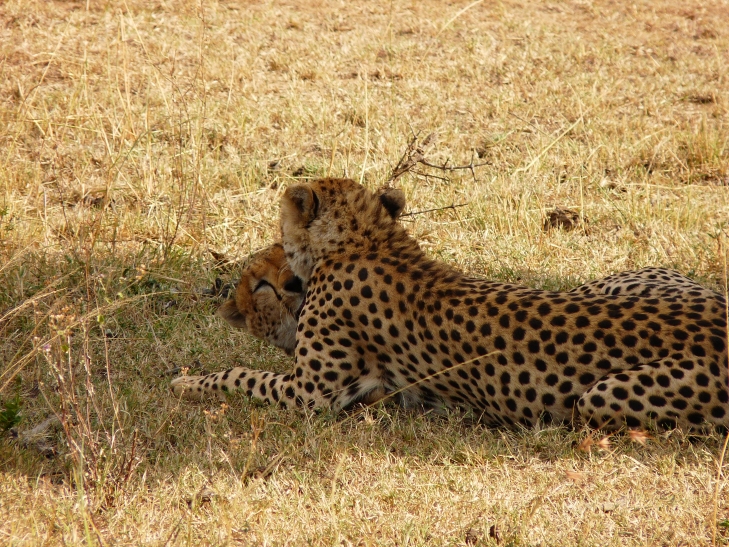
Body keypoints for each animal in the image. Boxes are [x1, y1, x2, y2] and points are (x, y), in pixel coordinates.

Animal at [173, 178, 729, 430]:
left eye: (260, 283)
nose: (286, 281)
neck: (368, 240)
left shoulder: (311, 393)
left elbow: (241, 375)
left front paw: (188, 381)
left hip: (598, 398)